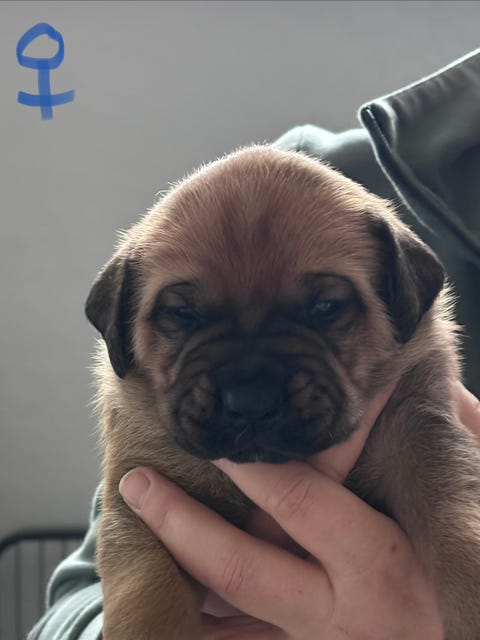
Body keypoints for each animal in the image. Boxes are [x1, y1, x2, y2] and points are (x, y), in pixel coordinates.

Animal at [86, 146, 480, 639]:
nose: (251, 403)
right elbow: (149, 595)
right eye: (182, 314)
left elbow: (455, 518)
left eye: (326, 307)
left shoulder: (418, 435)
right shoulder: (139, 496)